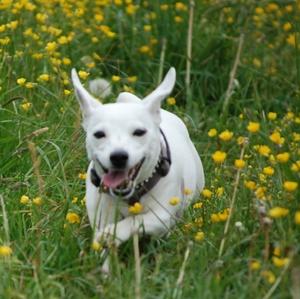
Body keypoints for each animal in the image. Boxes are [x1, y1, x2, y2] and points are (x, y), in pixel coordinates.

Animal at [71, 67, 205, 272]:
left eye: (139, 132)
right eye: (99, 134)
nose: (118, 156)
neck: (130, 195)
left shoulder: (162, 217)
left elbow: (135, 221)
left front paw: (112, 233)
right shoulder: (101, 216)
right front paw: (106, 269)